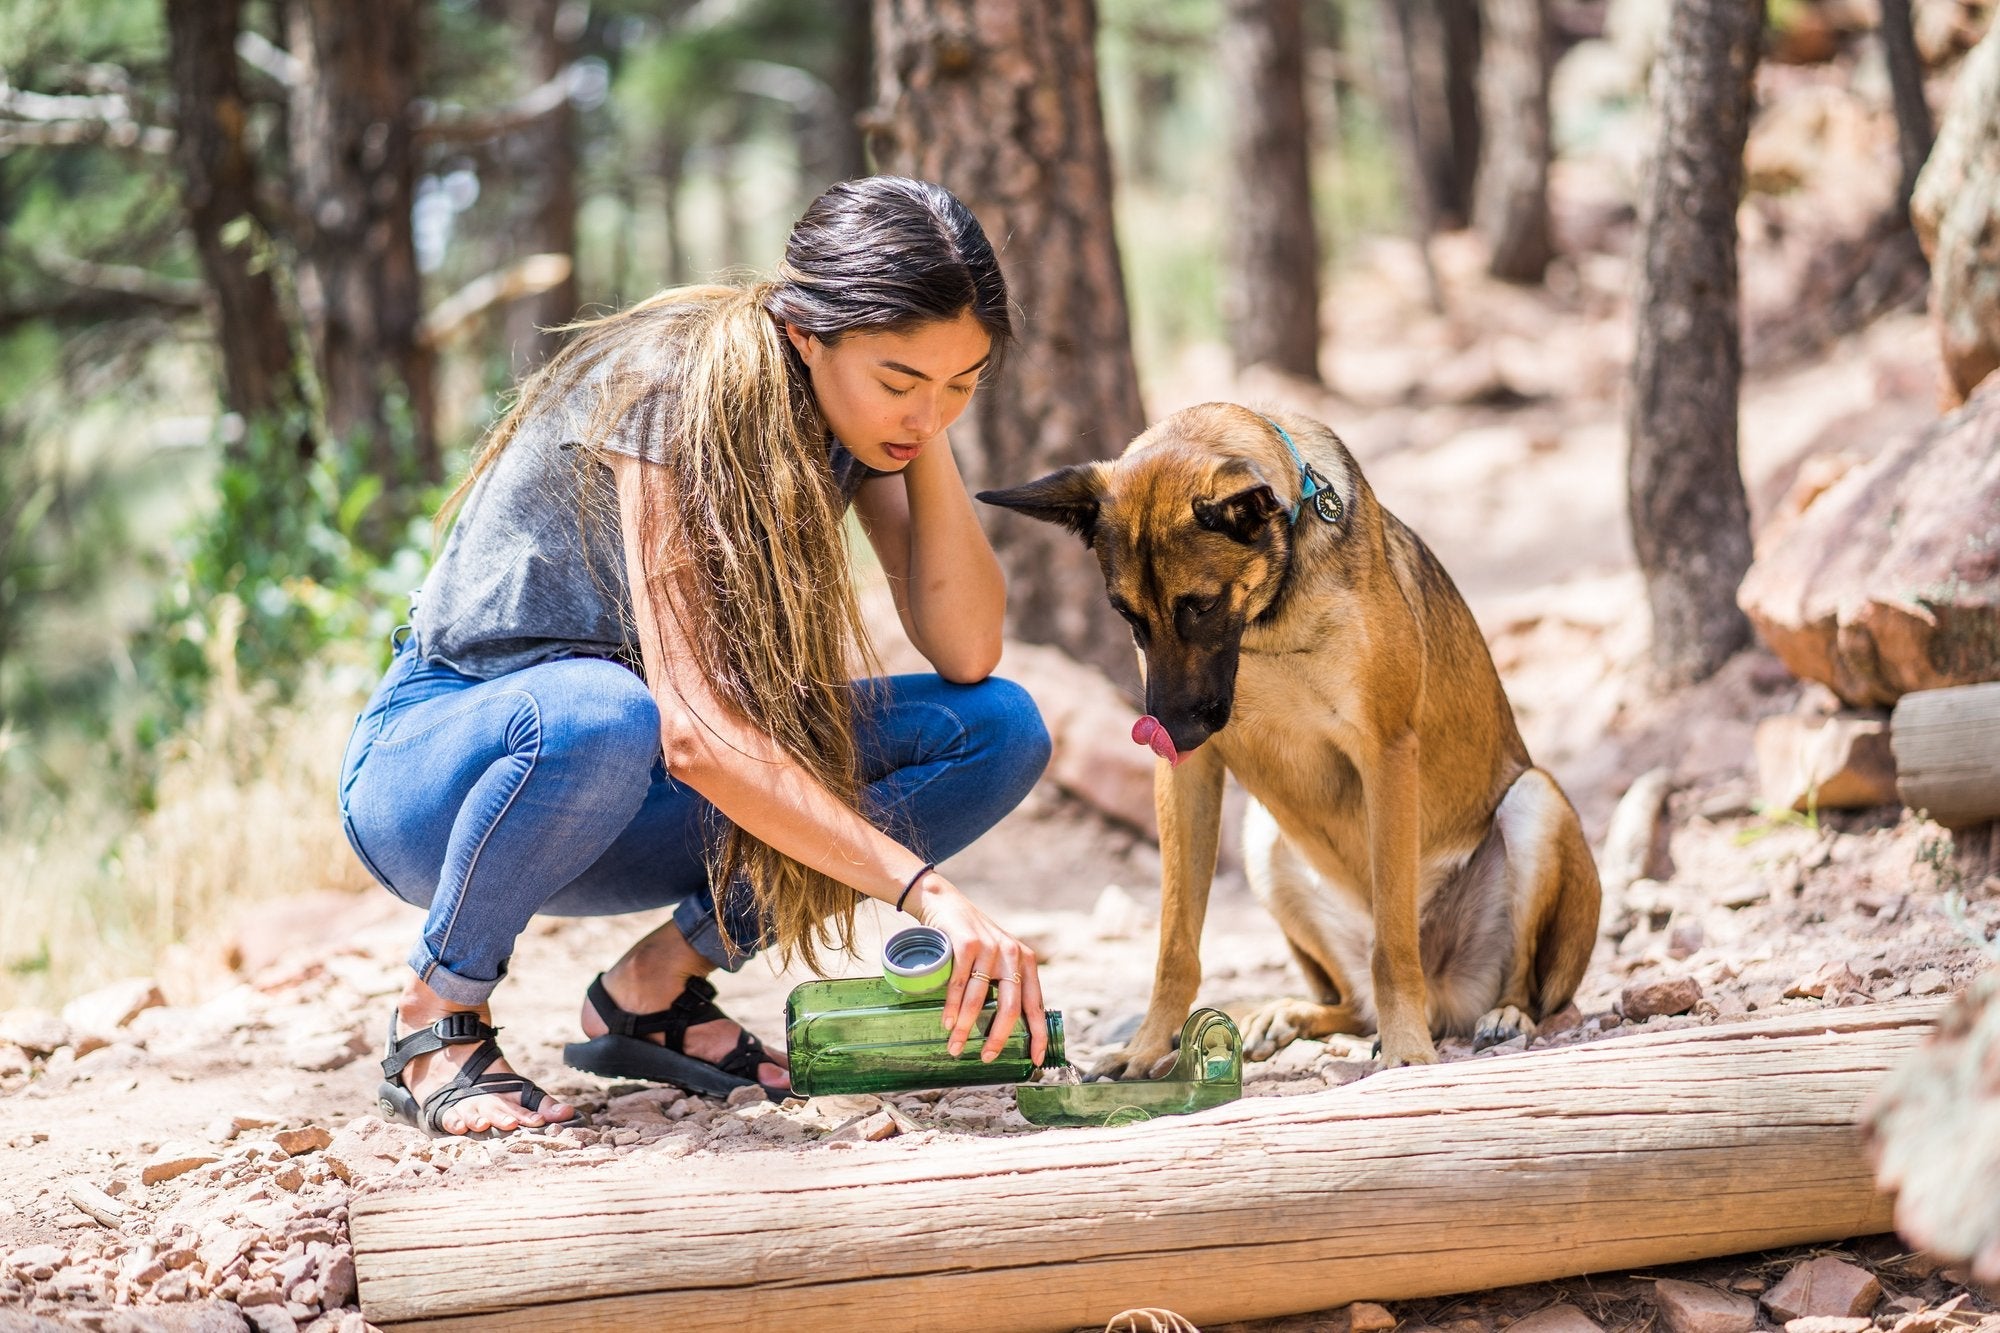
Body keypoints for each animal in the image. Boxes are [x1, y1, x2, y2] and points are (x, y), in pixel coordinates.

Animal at [976, 402, 1600, 1072]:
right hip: (1262, 838)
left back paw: (1499, 1015)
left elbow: (1393, 944)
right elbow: (1175, 943)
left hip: (1535, 803)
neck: (1266, 622)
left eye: (1199, 605)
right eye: (1128, 615)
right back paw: (1287, 1014)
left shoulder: (1386, 752)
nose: (1167, 734)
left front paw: (1407, 1050)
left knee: (1525, 986)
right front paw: (1146, 1046)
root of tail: (1445, 997)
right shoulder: (1189, 777)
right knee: (1350, 1003)